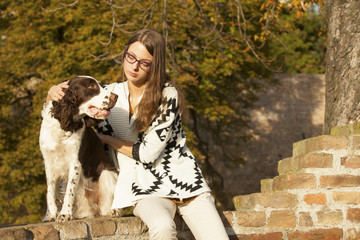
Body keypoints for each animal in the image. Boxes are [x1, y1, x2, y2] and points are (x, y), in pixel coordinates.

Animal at [39, 76, 119, 222]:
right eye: (92, 86)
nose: (116, 96)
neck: (63, 127)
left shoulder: (75, 162)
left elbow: (70, 190)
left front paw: (64, 214)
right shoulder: (49, 161)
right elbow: (50, 191)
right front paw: (52, 214)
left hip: (107, 173)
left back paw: (113, 210)